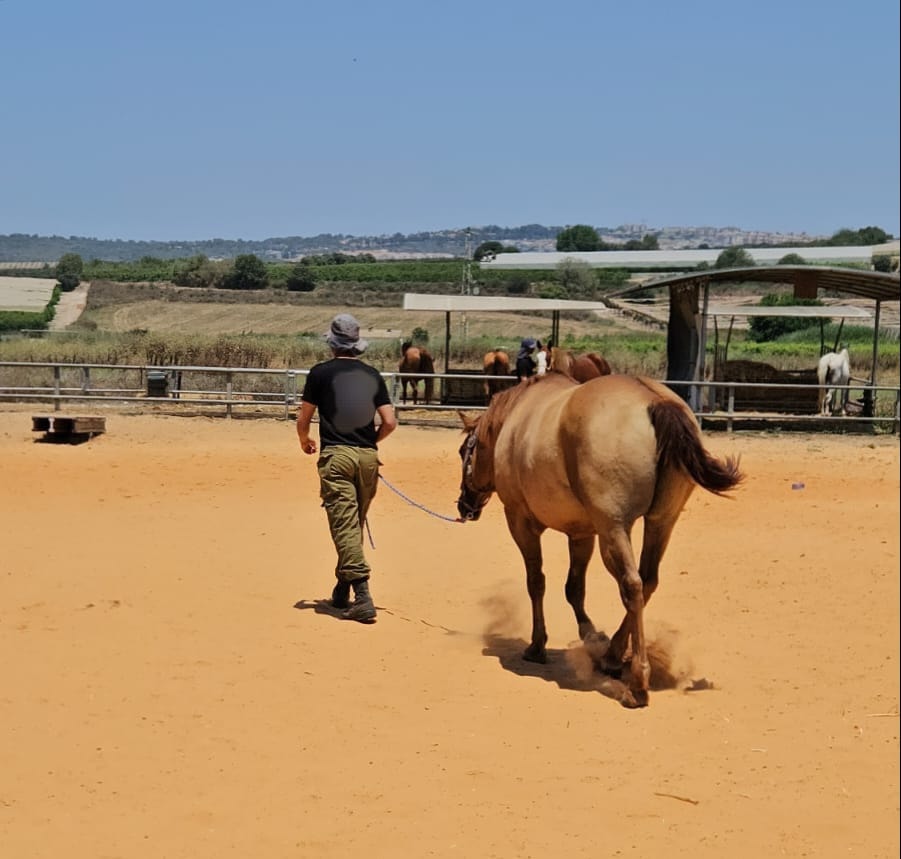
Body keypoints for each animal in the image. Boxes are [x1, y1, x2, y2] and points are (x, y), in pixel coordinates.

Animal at [456, 373, 743, 708]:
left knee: (631, 586)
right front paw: (591, 636)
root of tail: (655, 401)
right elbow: (574, 588)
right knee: (647, 581)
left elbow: (536, 582)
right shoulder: (582, 533)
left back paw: (637, 681)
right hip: (660, 523)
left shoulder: (520, 520)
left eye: (464, 452)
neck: (513, 421)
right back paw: (612, 656)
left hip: (614, 529)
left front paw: (538, 646)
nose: (464, 505)